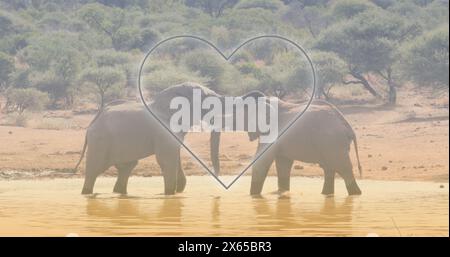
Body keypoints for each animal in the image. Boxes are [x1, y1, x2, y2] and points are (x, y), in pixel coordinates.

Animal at [74, 82, 224, 194]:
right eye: (208, 102)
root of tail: (93, 122)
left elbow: (175, 157)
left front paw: (177, 192)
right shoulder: (163, 130)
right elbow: (166, 161)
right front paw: (170, 194)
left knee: (126, 167)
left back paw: (119, 193)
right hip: (100, 142)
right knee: (94, 170)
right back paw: (87, 193)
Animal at [210, 93, 362, 195]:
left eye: (234, 112)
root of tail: (348, 127)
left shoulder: (273, 133)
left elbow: (261, 162)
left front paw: (254, 196)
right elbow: (283, 164)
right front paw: (282, 193)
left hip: (332, 143)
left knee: (343, 169)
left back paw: (355, 194)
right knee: (329, 169)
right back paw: (326, 195)